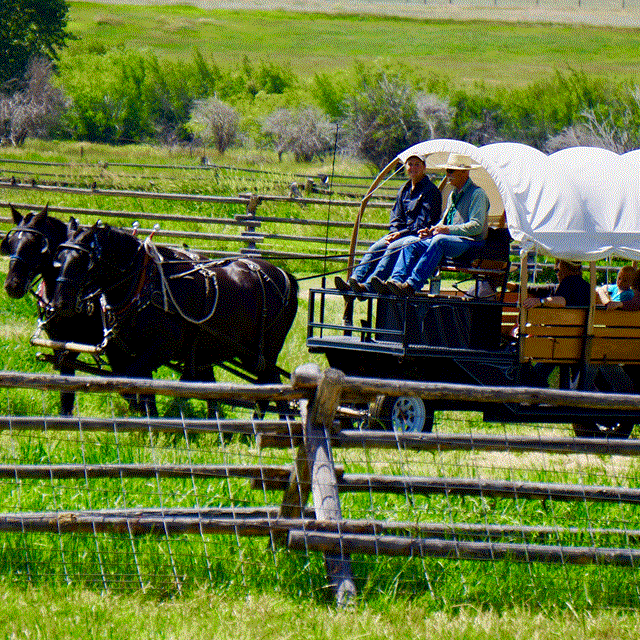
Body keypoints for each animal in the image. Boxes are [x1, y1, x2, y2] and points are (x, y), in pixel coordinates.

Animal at [52, 224, 298, 416]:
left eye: (83, 260)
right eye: (59, 258)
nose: (60, 303)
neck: (141, 284)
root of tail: (285, 276)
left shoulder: (162, 347)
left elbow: (131, 382)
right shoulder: (127, 350)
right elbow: (138, 388)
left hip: (264, 351)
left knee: (273, 384)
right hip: (246, 354)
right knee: (266, 386)